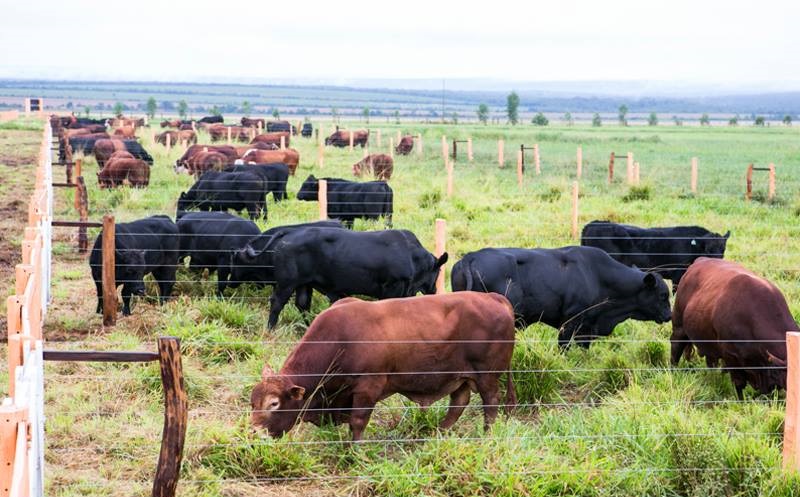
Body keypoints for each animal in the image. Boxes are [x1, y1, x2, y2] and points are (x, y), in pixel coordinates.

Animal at [247, 292, 516, 440]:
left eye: (274, 403)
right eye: (252, 403)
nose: (253, 433)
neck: (340, 340)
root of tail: (493, 297)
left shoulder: (368, 388)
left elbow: (357, 422)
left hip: (487, 376)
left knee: (491, 404)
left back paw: (486, 434)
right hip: (460, 377)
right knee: (458, 404)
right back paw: (438, 433)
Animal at [260, 227, 444, 328]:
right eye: (438, 272)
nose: (434, 290)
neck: (412, 256)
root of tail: (291, 232)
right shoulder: (392, 288)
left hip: (304, 284)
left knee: (303, 304)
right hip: (287, 283)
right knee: (277, 303)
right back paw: (270, 329)